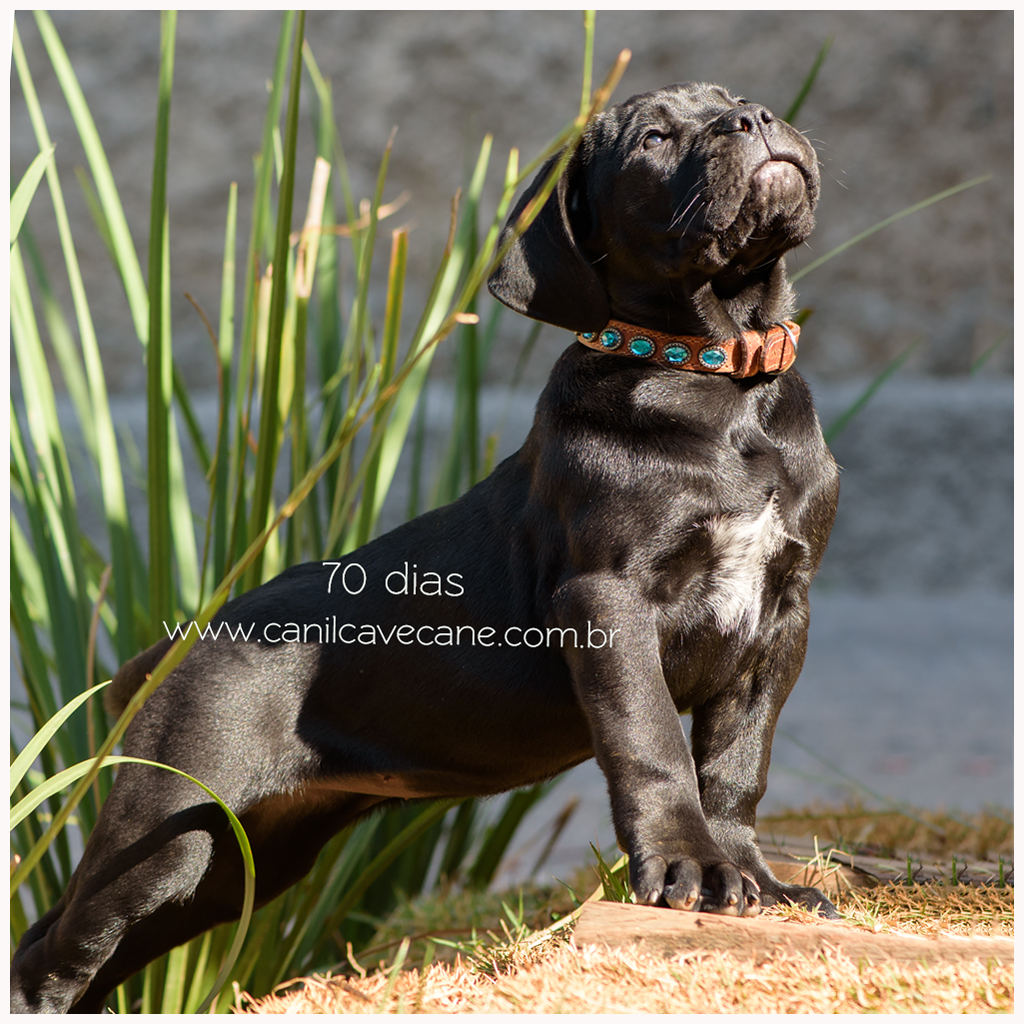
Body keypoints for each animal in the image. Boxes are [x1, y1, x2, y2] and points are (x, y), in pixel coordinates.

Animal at [12, 83, 835, 1011]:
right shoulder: (609, 599)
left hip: (235, 859)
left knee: (100, 945)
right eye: (655, 138)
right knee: (57, 949)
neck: (718, 379)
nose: (755, 119)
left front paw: (751, 880)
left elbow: (738, 761)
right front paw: (686, 869)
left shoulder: (784, 610)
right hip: (168, 823)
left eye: (735, 102)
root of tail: (175, 646)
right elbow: (652, 740)